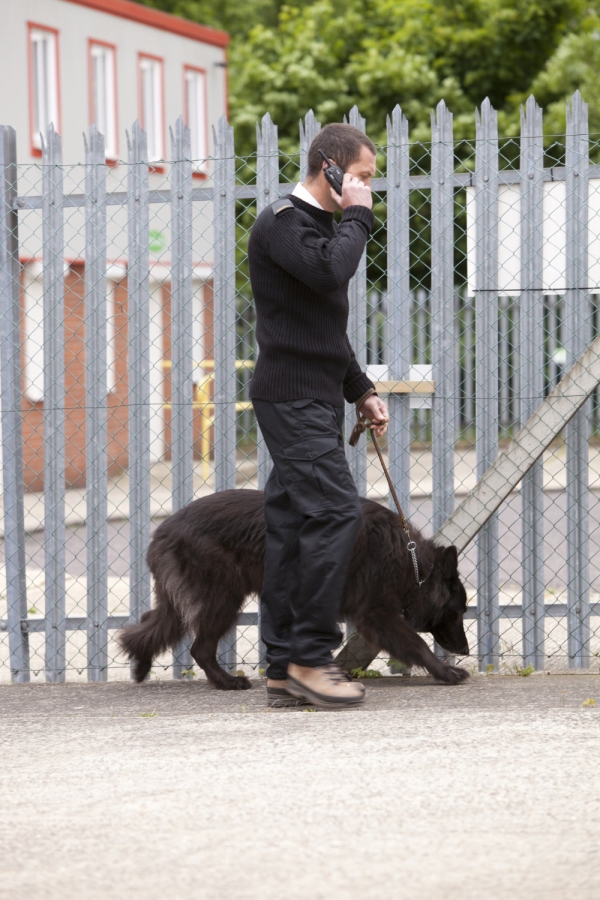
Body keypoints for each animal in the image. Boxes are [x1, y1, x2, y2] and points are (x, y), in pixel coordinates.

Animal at [119, 488, 472, 684]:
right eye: (459, 611)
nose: (466, 651)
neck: (411, 562)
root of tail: (162, 530)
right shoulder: (377, 614)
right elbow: (417, 644)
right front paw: (446, 672)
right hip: (223, 600)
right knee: (199, 649)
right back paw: (226, 682)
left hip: (191, 602)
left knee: (148, 626)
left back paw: (141, 664)